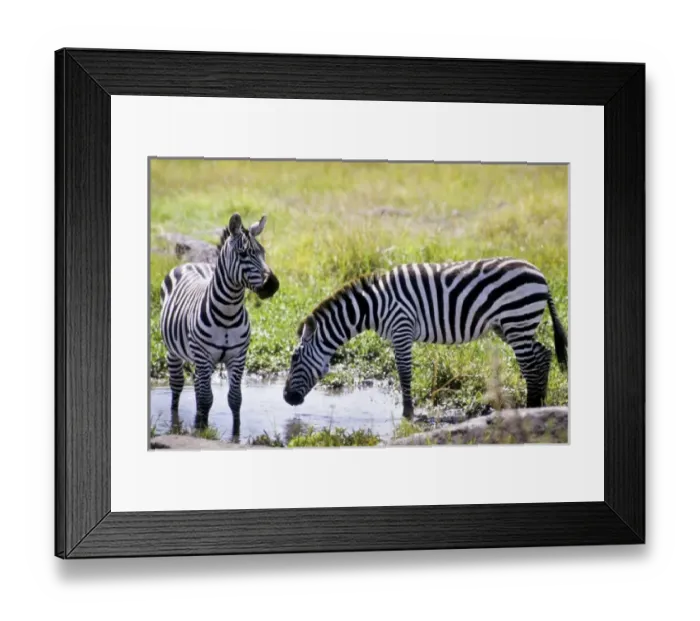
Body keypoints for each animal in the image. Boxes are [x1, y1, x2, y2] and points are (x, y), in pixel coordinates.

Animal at [159, 213, 279, 439]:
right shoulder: (204, 356)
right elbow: (207, 398)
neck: (228, 315)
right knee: (178, 386)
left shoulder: (238, 356)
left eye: (263, 253)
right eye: (243, 254)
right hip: (174, 352)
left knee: (198, 386)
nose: (273, 285)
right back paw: (176, 422)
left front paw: (235, 435)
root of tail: (192, 263)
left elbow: (234, 398)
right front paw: (203, 432)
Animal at [283, 257, 567, 416]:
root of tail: (540, 274)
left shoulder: (401, 328)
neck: (372, 307)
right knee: (543, 355)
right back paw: (539, 405)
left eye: (294, 359)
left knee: (530, 365)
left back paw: (531, 406)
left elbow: (404, 373)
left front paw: (407, 413)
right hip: (511, 326)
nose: (286, 398)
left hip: (517, 320)